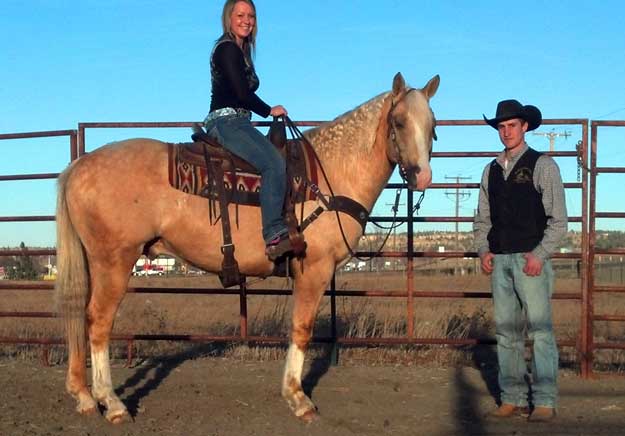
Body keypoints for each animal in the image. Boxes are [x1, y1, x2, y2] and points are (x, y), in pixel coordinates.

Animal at [54, 71, 438, 422]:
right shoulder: (314, 269)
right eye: (399, 122)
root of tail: (78, 166)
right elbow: (302, 329)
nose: (423, 177)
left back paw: (84, 396)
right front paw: (298, 398)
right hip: (114, 262)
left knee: (80, 314)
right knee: (98, 321)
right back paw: (112, 403)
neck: (328, 175)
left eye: (432, 126)